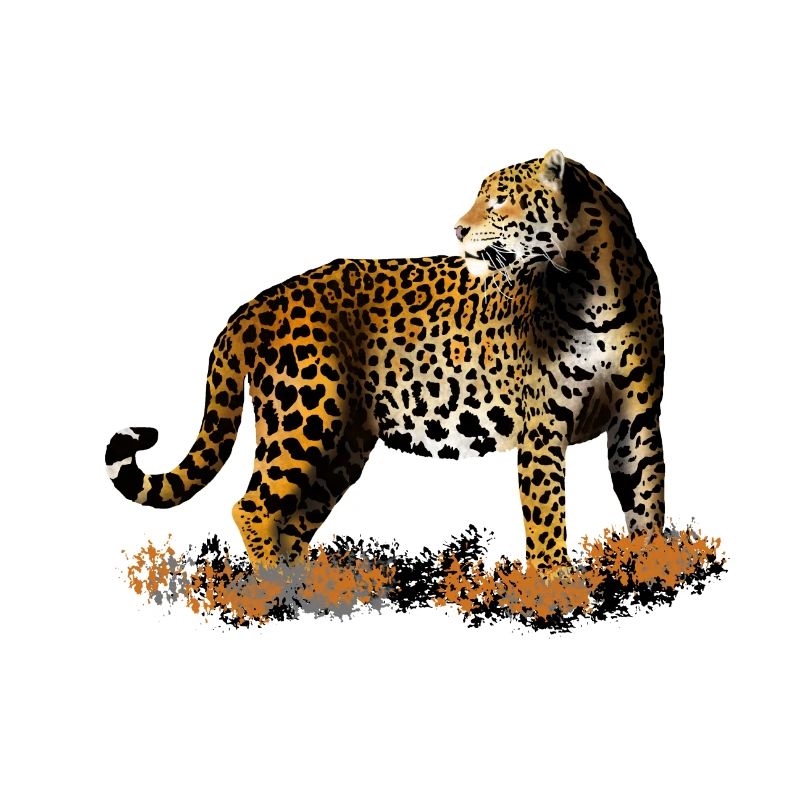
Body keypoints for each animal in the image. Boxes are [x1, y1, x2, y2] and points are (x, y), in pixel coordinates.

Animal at [106, 149, 665, 574]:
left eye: (500, 200)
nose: (457, 230)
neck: (593, 286)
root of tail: (258, 303)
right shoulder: (544, 425)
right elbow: (547, 514)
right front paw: (554, 585)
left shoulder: (636, 418)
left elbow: (647, 498)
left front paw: (652, 567)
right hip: (304, 414)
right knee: (254, 507)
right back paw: (271, 589)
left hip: (345, 441)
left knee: (292, 523)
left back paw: (303, 586)